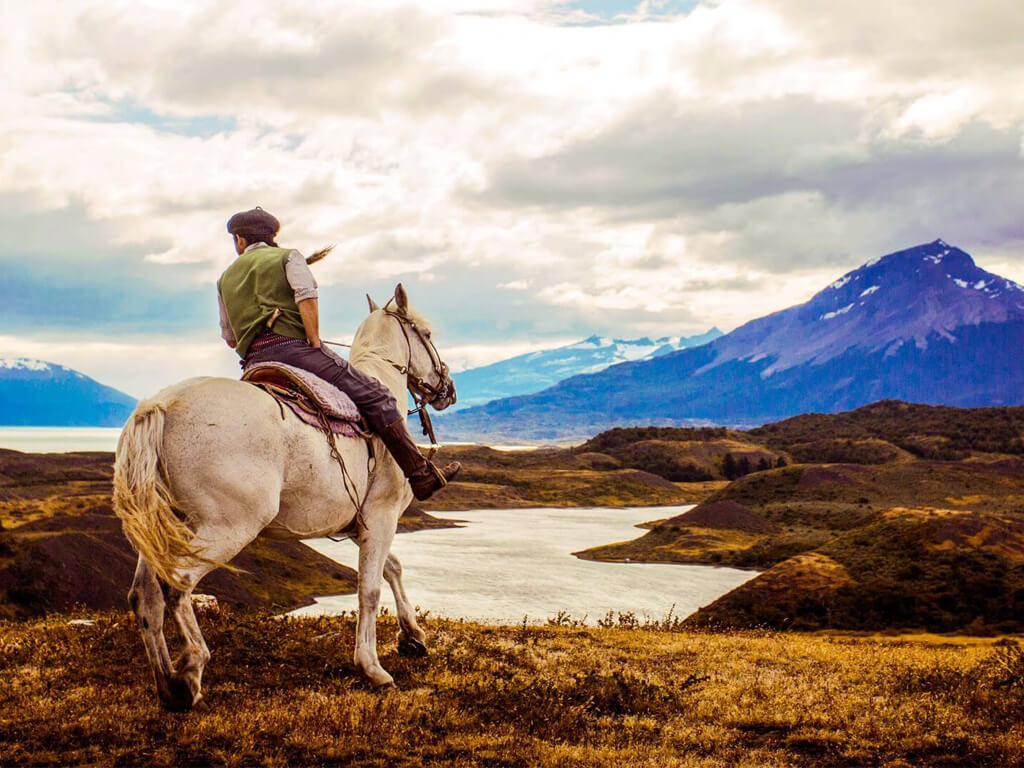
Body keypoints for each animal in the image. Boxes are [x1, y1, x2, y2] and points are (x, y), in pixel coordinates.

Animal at [109, 286, 456, 712]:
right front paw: (372, 668)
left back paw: (168, 686)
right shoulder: (382, 515)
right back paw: (190, 671)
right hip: (226, 528)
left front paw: (413, 636)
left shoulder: (359, 523)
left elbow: (392, 567)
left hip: (164, 528)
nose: (448, 390)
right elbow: (370, 589)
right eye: (428, 334)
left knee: (145, 595)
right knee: (178, 584)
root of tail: (159, 406)